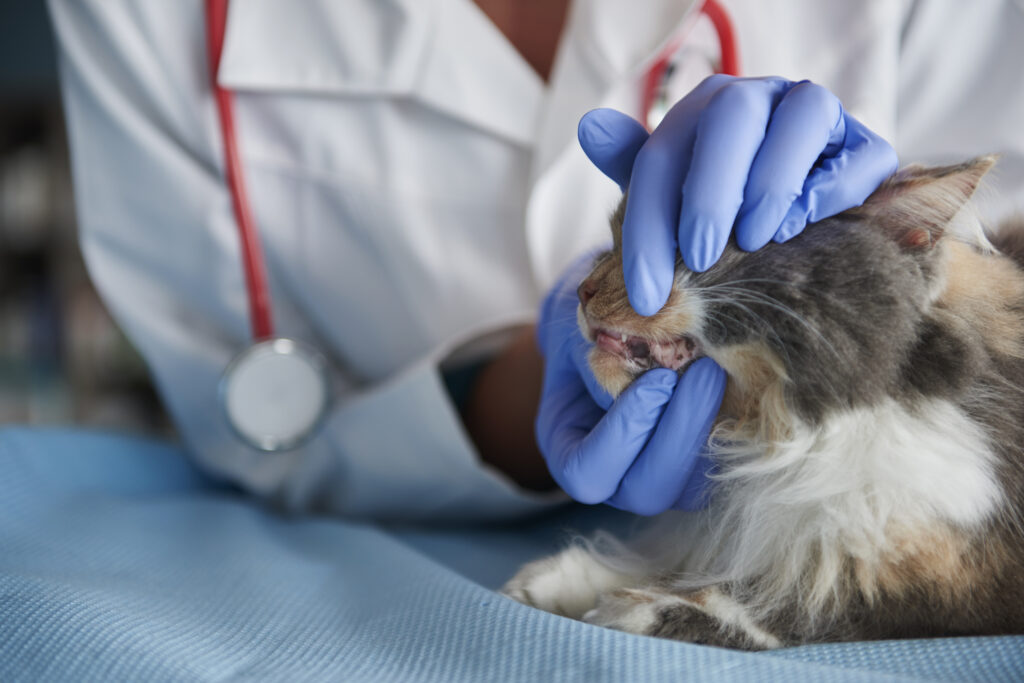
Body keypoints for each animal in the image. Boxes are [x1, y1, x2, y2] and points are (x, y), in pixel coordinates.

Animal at [501, 157, 1024, 651]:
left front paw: (638, 608)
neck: (777, 433)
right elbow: (695, 556)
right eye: (614, 241)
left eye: (682, 250)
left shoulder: (949, 575)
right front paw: (560, 579)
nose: (581, 291)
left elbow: (785, 602)